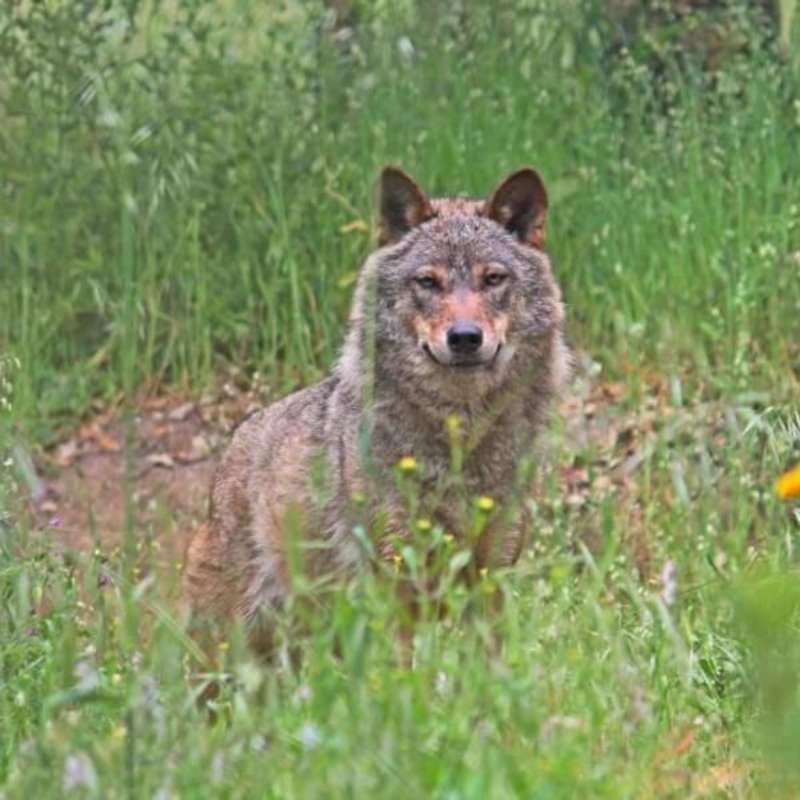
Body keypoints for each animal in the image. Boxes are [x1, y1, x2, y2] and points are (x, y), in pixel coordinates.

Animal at [185, 165, 570, 653]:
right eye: (428, 282)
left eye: (493, 279)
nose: (465, 337)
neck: (459, 439)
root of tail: (236, 441)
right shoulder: (396, 585)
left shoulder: (489, 582)